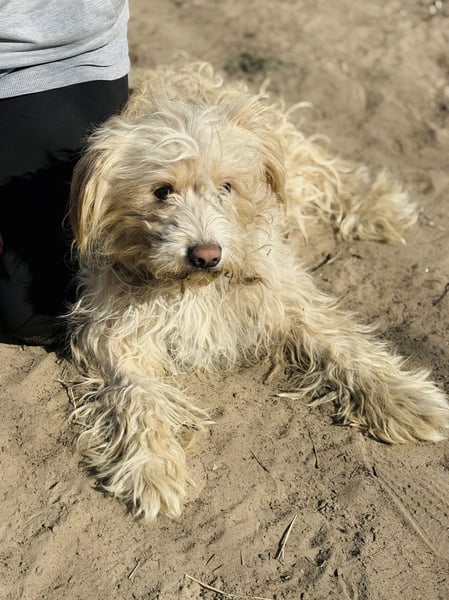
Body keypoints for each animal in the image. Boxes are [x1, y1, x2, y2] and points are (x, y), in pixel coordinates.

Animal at [68, 63, 449, 520]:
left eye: (227, 187)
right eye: (162, 191)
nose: (206, 255)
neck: (192, 288)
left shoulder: (287, 298)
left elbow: (344, 345)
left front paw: (404, 398)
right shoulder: (118, 337)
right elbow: (137, 396)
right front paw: (152, 466)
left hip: (295, 162)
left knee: (331, 173)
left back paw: (377, 206)